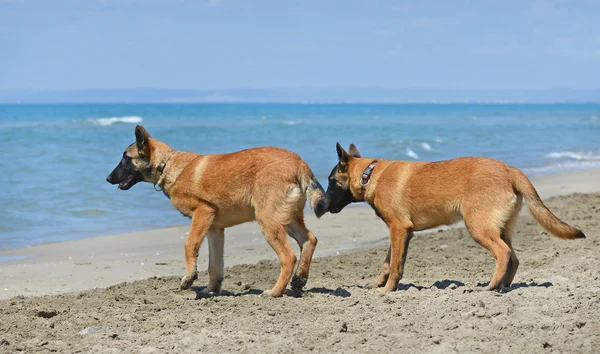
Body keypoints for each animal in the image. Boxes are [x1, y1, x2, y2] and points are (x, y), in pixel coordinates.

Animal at [105, 126, 326, 298]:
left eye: (126, 158)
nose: (107, 179)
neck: (168, 165)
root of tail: (298, 162)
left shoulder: (202, 212)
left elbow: (189, 245)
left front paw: (189, 278)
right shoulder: (214, 228)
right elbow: (215, 265)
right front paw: (211, 290)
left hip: (268, 220)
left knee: (288, 257)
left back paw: (275, 291)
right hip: (287, 219)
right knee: (309, 240)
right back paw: (299, 280)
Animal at [326, 142, 584, 292]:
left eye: (330, 181)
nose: (322, 205)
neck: (370, 174)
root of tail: (509, 169)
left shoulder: (398, 229)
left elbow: (396, 264)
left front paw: (388, 289)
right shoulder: (399, 232)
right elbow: (388, 262)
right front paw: (378, 283)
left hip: (478, 227)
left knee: (503, 253)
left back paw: (490, 286)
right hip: (501, 228)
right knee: (514, 257)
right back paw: (504, 285)